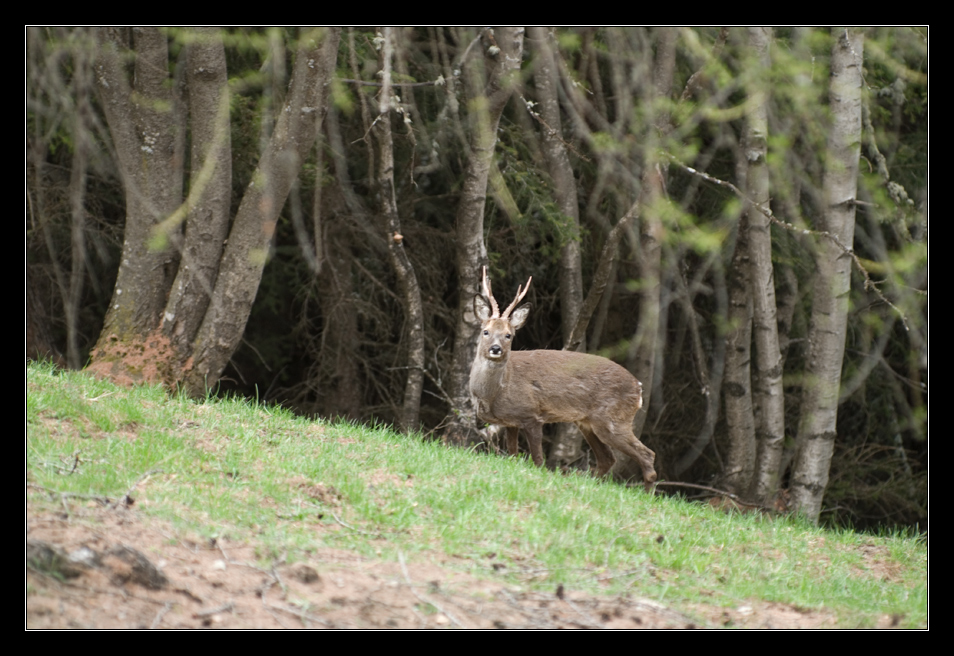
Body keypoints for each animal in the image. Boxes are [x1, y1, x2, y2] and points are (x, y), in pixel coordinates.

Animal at [466, 270, 656, 490]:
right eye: (485, 331)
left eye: (508, 335)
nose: (495, 349)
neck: (495, 393)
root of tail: (638, 387)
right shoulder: (510, 421)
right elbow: (512, 455)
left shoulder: (532, 414)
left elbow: (538, 460)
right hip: (588, 422)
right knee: (607, 458)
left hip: (614, 419)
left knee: (646, 454)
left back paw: (647, 493)